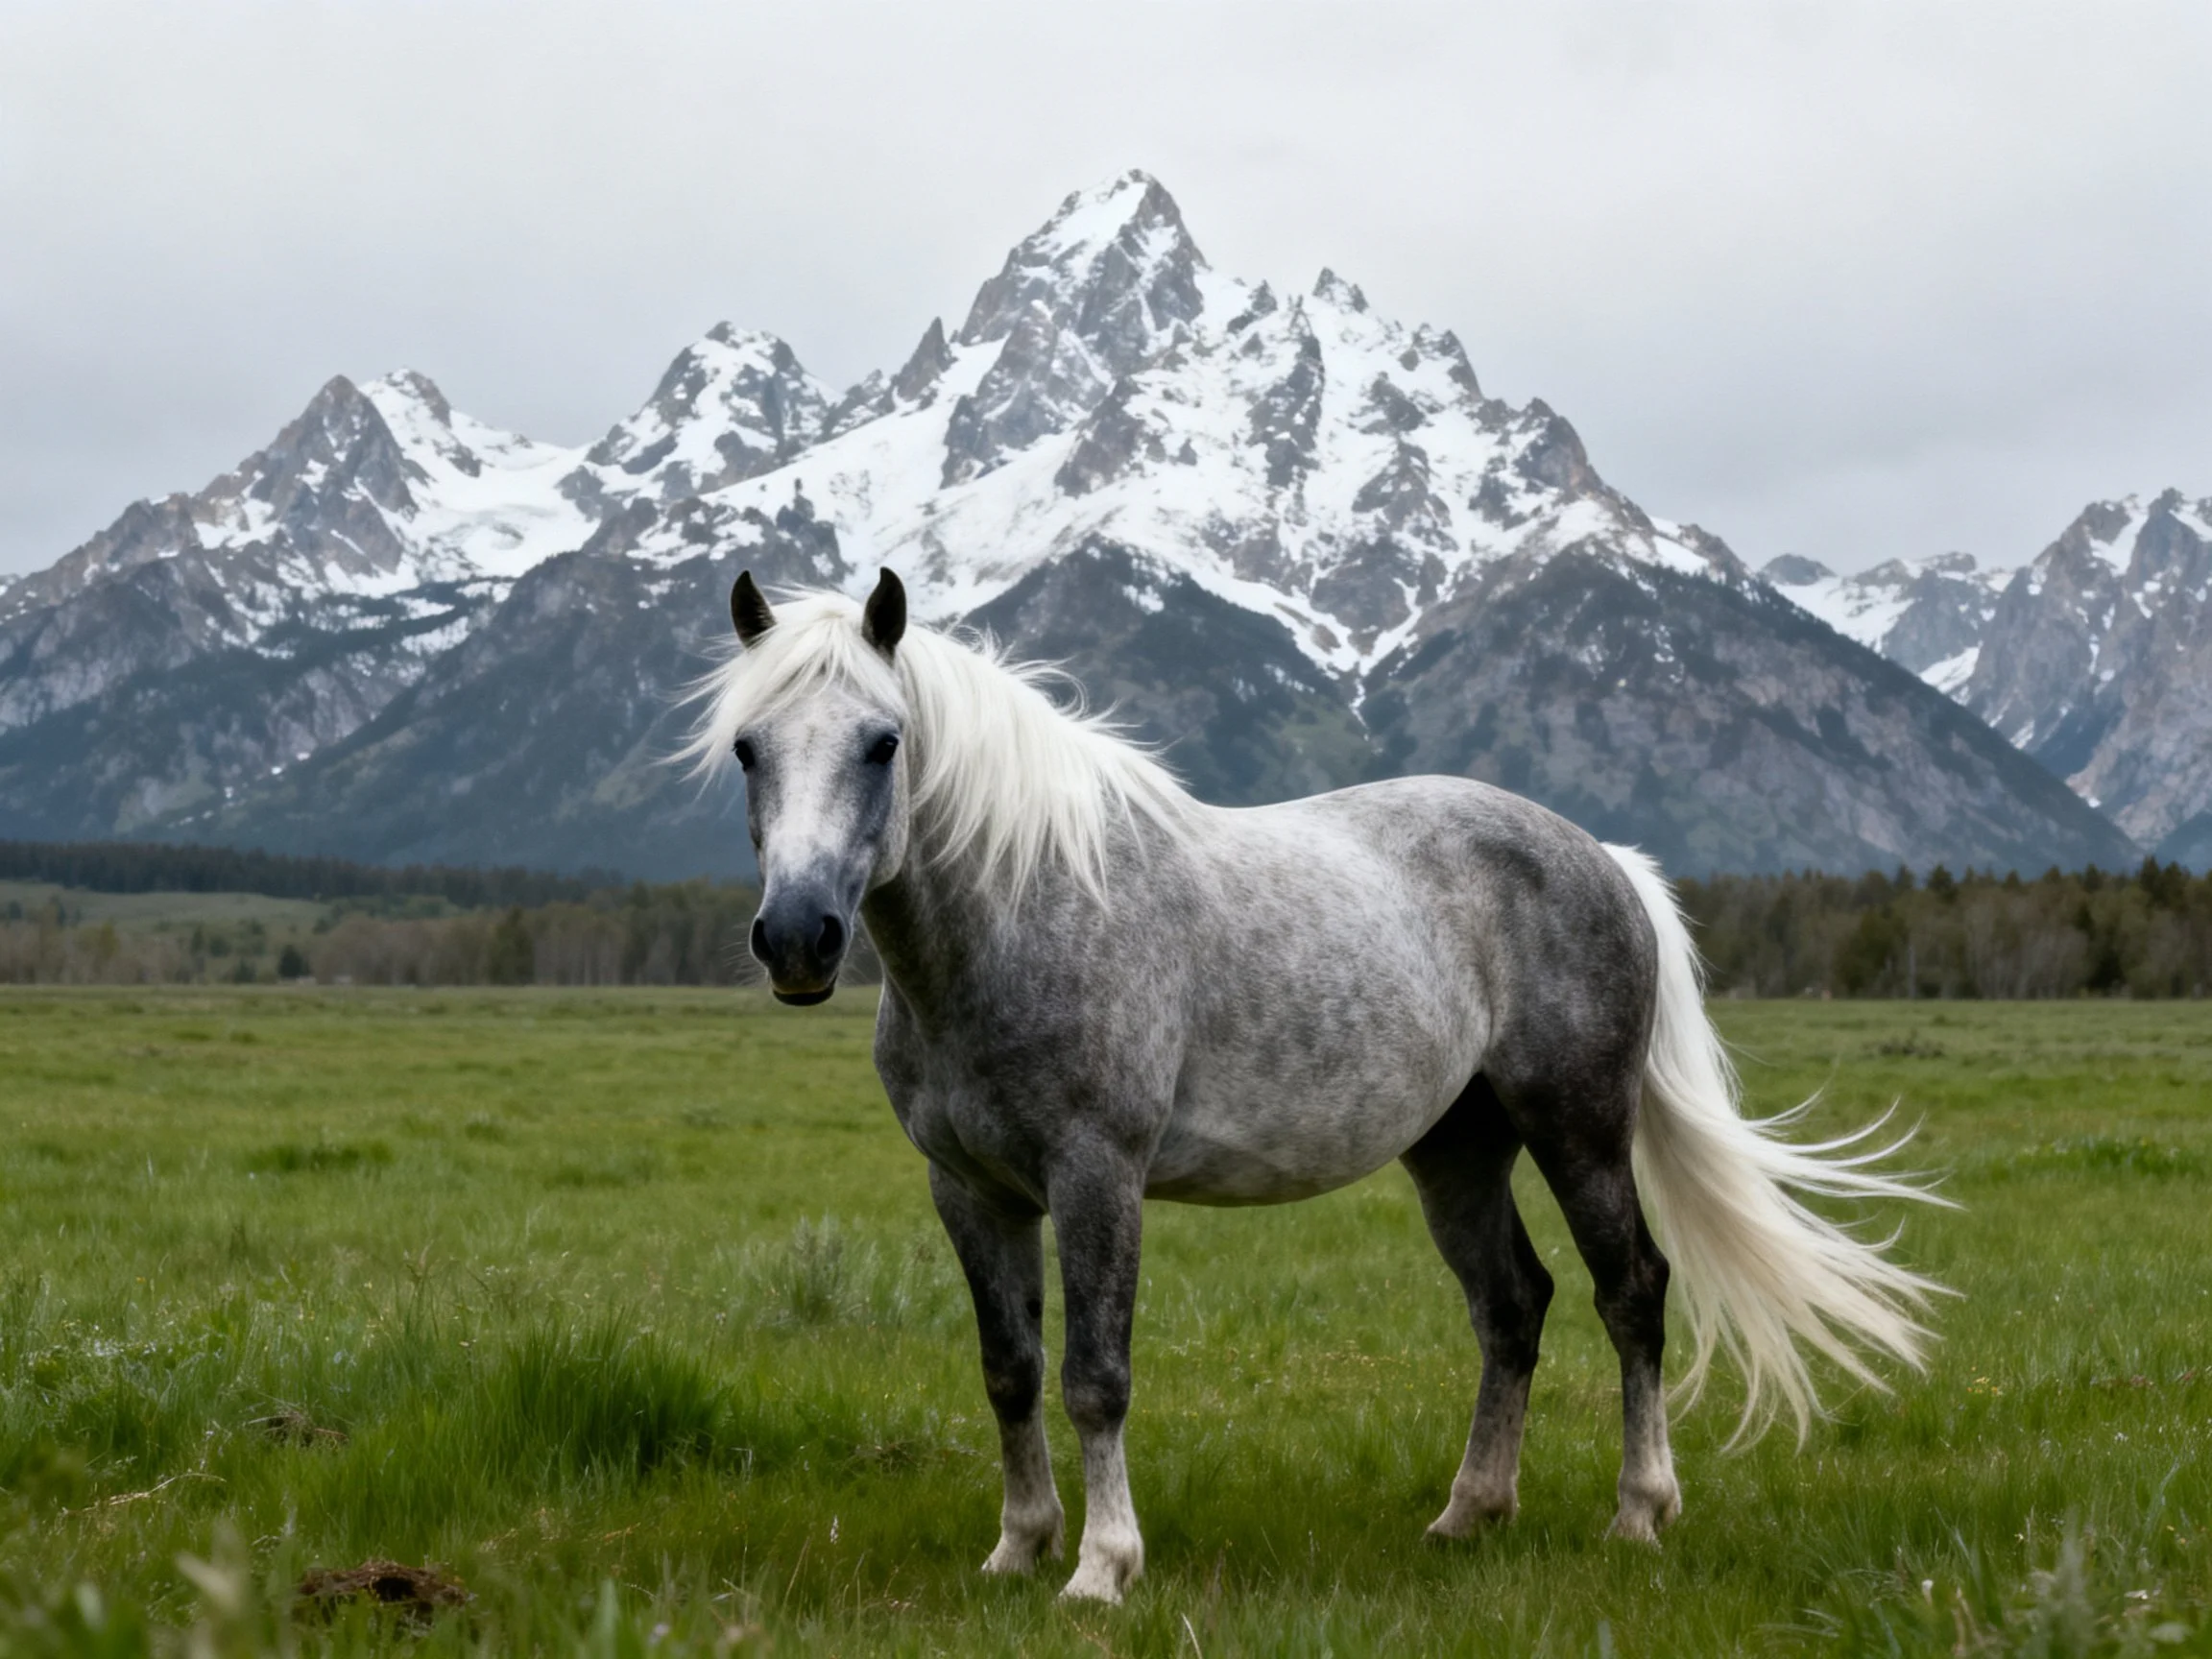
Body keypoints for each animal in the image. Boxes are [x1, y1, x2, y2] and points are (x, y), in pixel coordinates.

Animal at [688, 567, 1945, 1605]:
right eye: (749, 748)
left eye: (882, 743)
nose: (797, 938)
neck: (1021, 911)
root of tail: (1604, 860)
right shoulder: (970, 1189)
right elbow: (1011, 1371)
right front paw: (1018, 1548)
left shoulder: (1098, 1175)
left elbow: (1096, 1376)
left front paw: (1101, 1569)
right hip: (1457, 1150)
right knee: (1513, 1306)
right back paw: (1467, 1515)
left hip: (1579, 1129)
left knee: (1629, 1291)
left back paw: (1639, 1515)